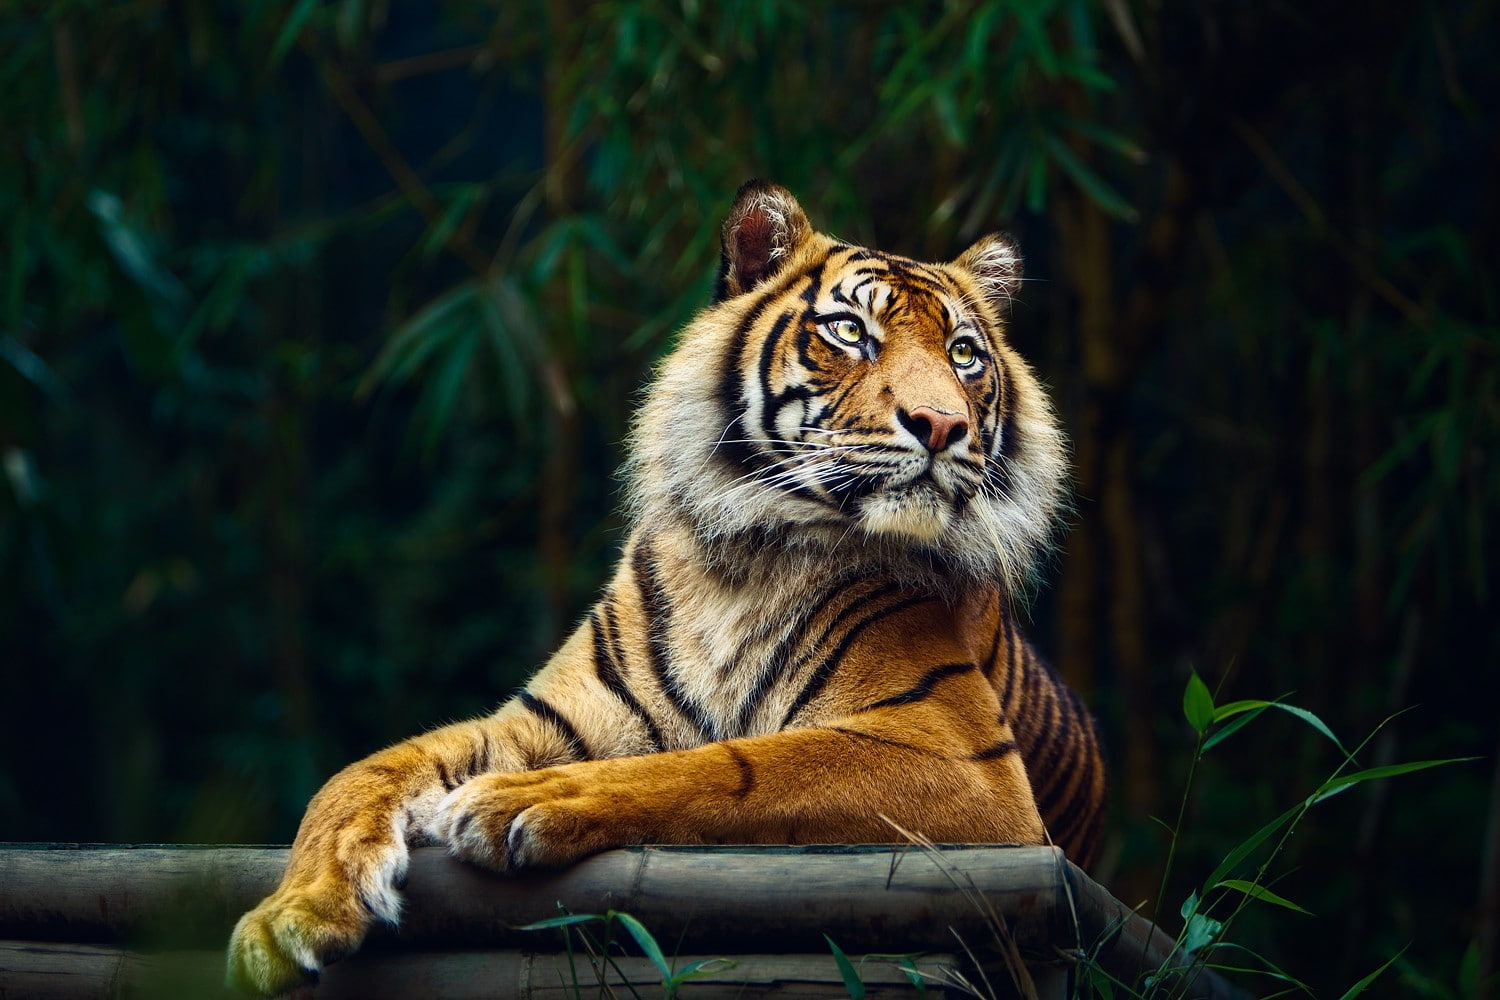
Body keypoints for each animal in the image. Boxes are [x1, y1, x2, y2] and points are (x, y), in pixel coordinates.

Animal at [226, 180, 1106, 996]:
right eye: (851, 331)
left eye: (963, 354)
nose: (942, 424)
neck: (747, 562)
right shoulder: (544, 719)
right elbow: (357, 773)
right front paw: (286, 921)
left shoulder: (963, 759)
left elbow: (735, 765)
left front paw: (514, 800)